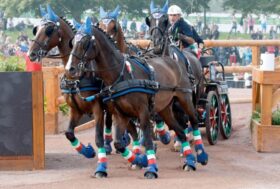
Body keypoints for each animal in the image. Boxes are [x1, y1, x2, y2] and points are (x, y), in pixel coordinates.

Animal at [64, 17, 207, 179]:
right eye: (72, 42)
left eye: (85, 42)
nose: (70, 69)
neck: (121, 75)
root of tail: (175, 60)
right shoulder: (120, 114)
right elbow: (119, 143)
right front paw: (141, 160)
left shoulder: (142, 112)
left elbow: (148, 141)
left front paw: (151, 169)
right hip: (165, 108)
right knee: (180, 132)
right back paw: (189, 161)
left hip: (185, 99)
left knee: (193, 121)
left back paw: (201, 155)